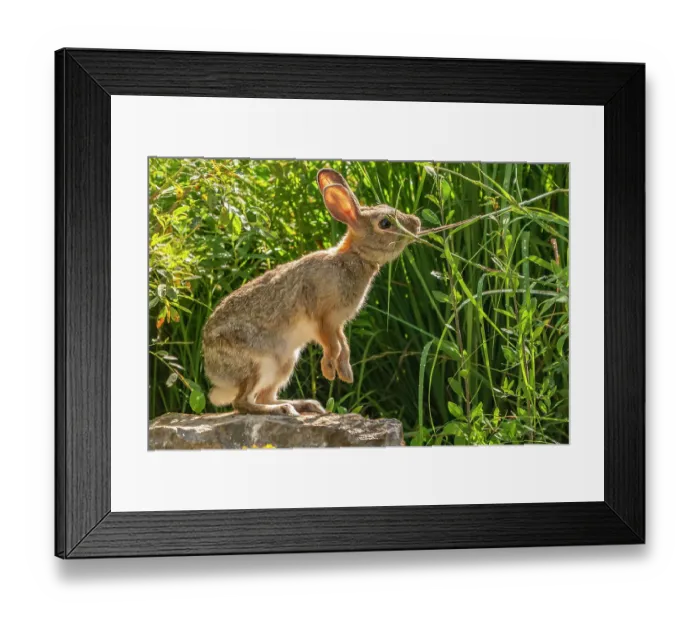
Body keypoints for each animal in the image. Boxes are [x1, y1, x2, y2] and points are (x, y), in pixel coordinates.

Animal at [202, 168, 421, 416]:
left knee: (264, 395)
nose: (417, 223)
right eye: (385, 223)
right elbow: (333, 345)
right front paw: (329, 370)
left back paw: (303, 405)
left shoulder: (337, 324)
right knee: (243, 402)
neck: (354, 257)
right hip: (259, 364)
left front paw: (345, 373)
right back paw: (282, 409)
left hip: (285, 363)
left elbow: (343, 345)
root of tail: (214, 372)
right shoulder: (321, 317)